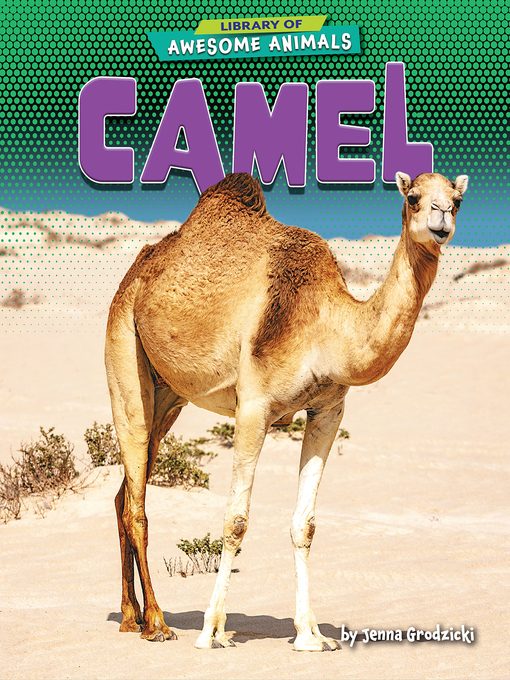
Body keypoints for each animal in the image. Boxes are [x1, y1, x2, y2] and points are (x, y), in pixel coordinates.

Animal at [105, 170, 468, 651]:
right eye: (413, 198)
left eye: (457, 200)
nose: (441, 219)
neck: (327, 328)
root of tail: (134, 273)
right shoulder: (254, 406)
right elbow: (236, 520)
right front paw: (212, 630)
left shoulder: (328, 410)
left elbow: (305, 525)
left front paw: (310, 634)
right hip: (124, 349)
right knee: (136, 502)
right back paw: (158, 623)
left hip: (168, 398)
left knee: (124, 493)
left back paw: (131, 616)